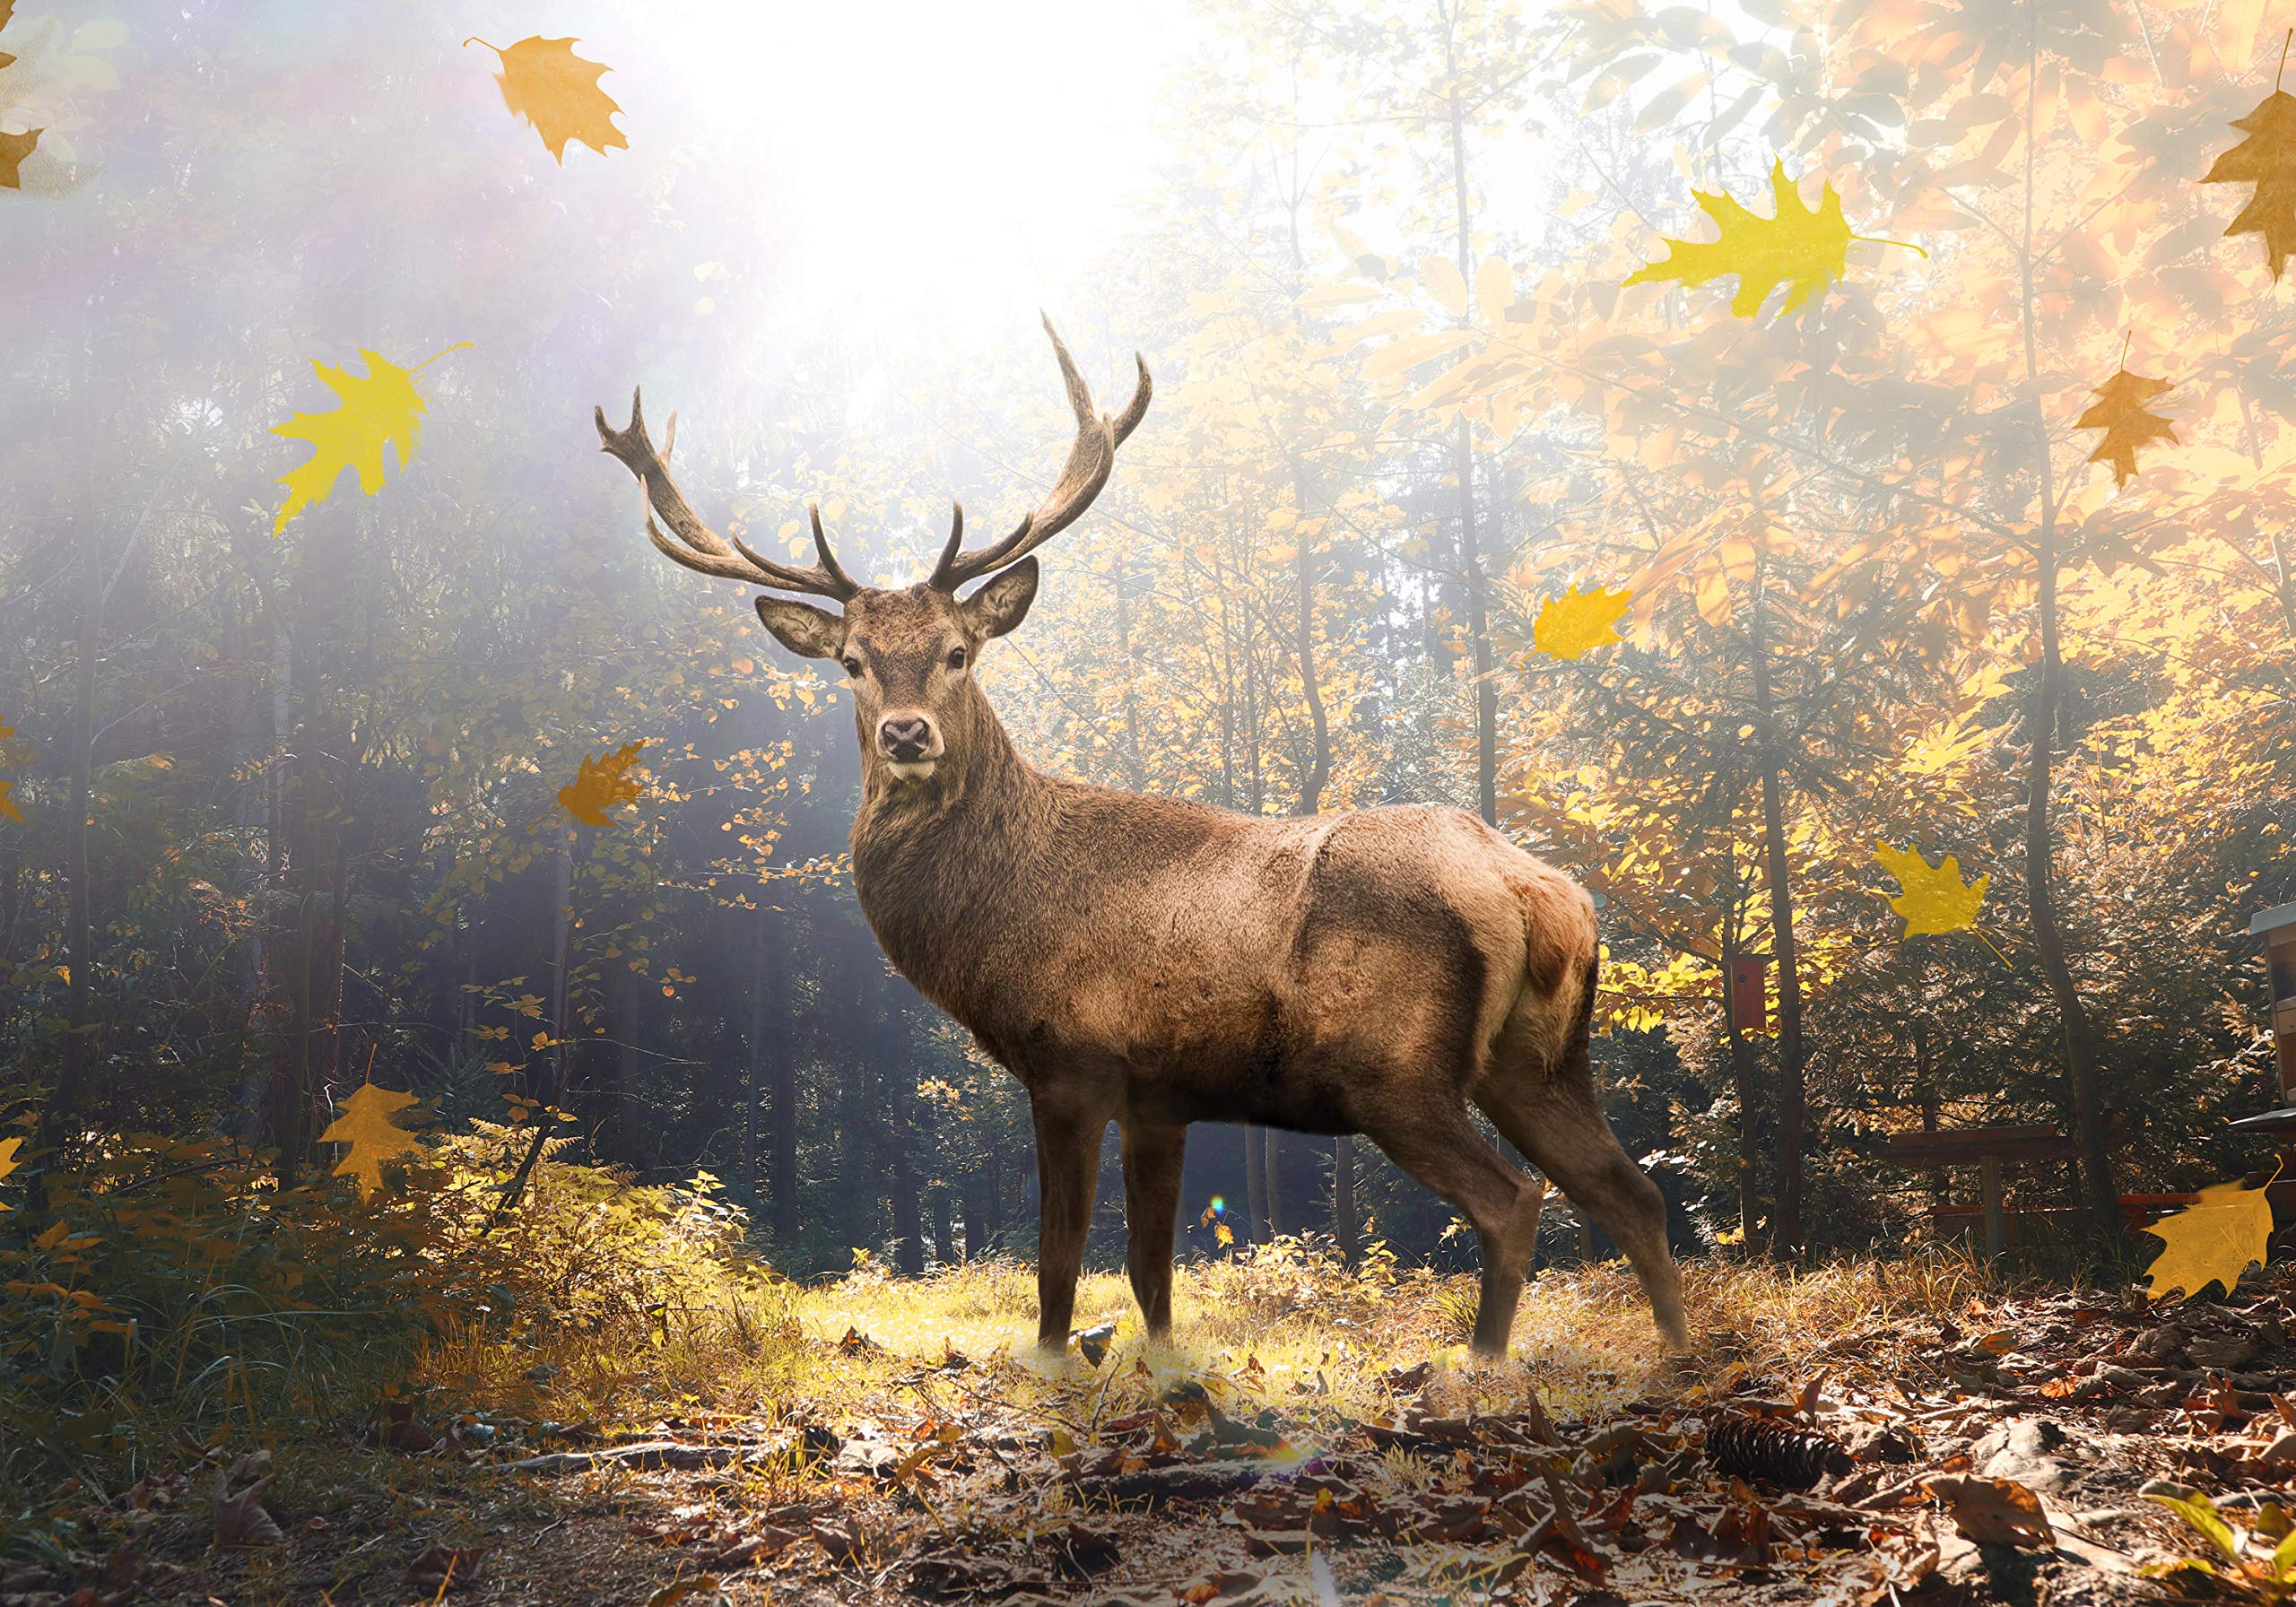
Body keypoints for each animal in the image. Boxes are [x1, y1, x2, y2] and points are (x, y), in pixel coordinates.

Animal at [593, 319, 1689, 1360]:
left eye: (958, 651)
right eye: (853, 662)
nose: (908, 734)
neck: (993, 923)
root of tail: (1539, 892)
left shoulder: (1071, 1058)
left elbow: (1059, 1260)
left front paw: (1051, 1370)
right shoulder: (1164, 1094)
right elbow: (1152, 1271)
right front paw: (1161, 1371)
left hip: (1395, 1067)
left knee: (1514, 1201)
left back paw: (1486, 1365)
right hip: (1541, 1059)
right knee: (1634, 1191)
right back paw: (1677, 1353)